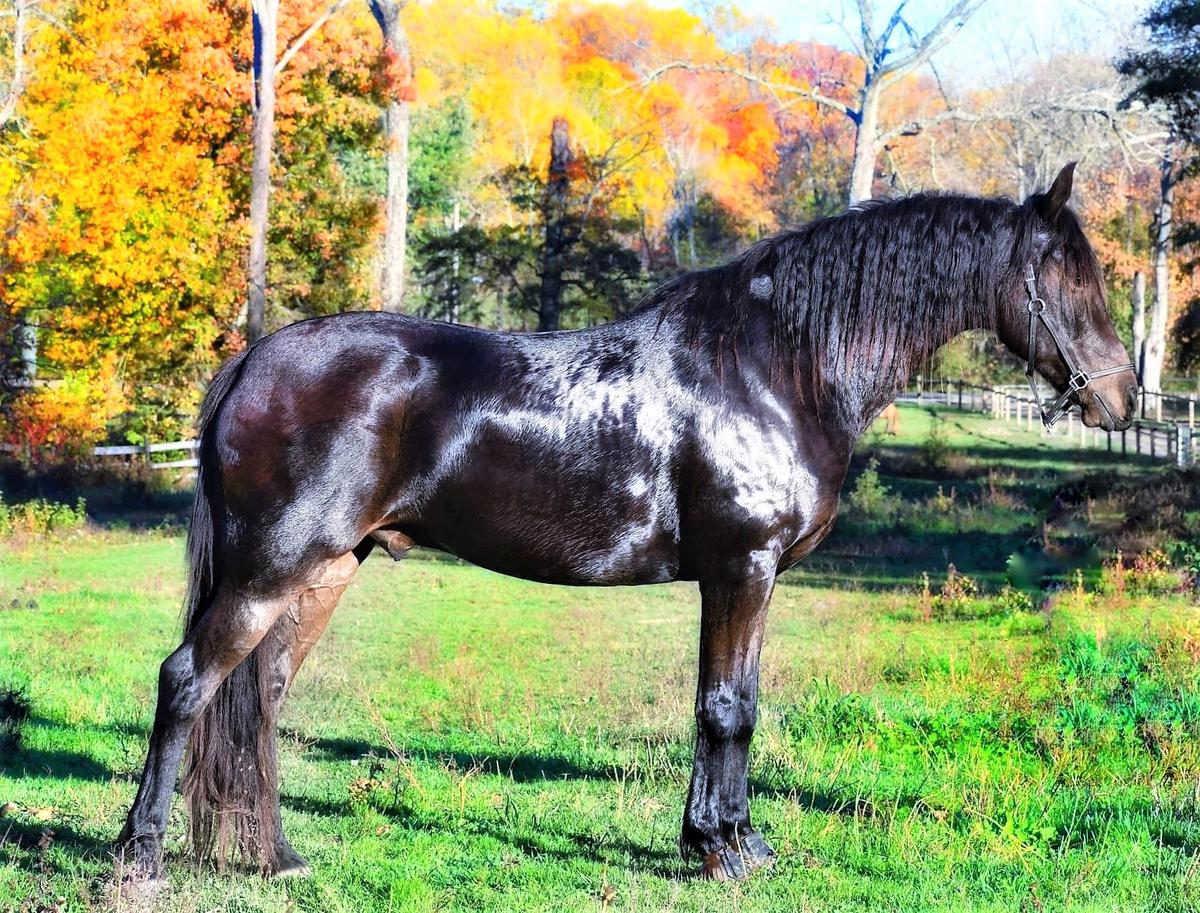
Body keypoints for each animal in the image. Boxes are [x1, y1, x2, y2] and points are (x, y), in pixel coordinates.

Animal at [118, 163, 1137, 883]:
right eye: (1064, 278)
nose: (1121, 398)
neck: (775, 367)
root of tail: (253, 364)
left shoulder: (749, 578)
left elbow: (734, 703)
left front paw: (732, 841)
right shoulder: (741, 567)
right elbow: (725, 708)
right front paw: (724, 852)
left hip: (326, 569)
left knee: (260, 696)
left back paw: (272, 857)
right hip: (270, 568)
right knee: (187, 681)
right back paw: (142, 858)